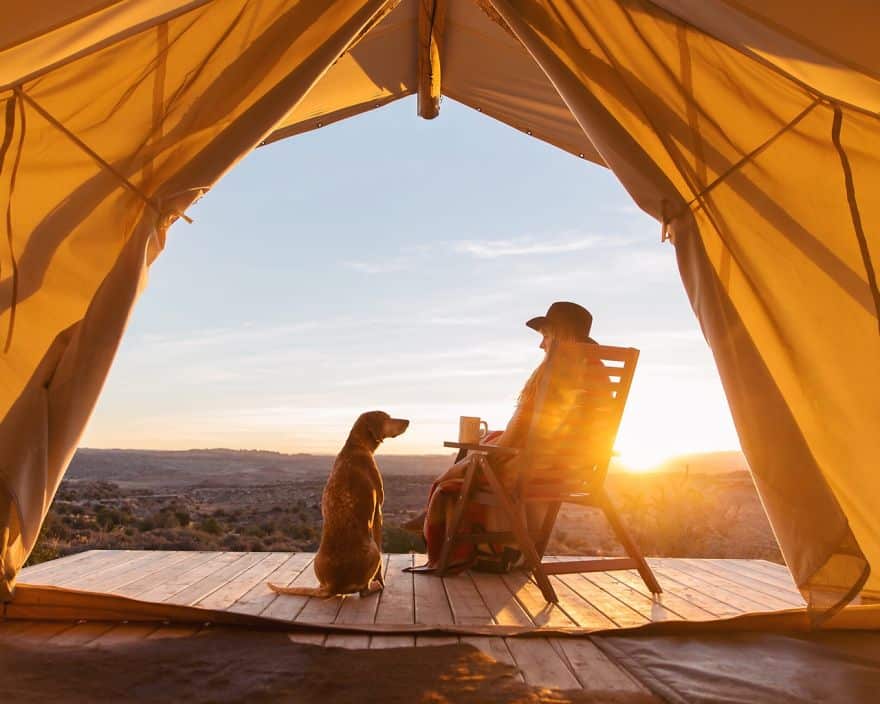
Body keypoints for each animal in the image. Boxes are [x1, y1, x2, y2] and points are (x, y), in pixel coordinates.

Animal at [268, 410, 410, 596]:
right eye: (387, 418)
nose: (408, 421)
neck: (357, 445)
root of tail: (334, 585)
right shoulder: (378, 512)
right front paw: (381, 580)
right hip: (373, 551)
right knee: (364, 590)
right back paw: (375, 586)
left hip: (317, 561)